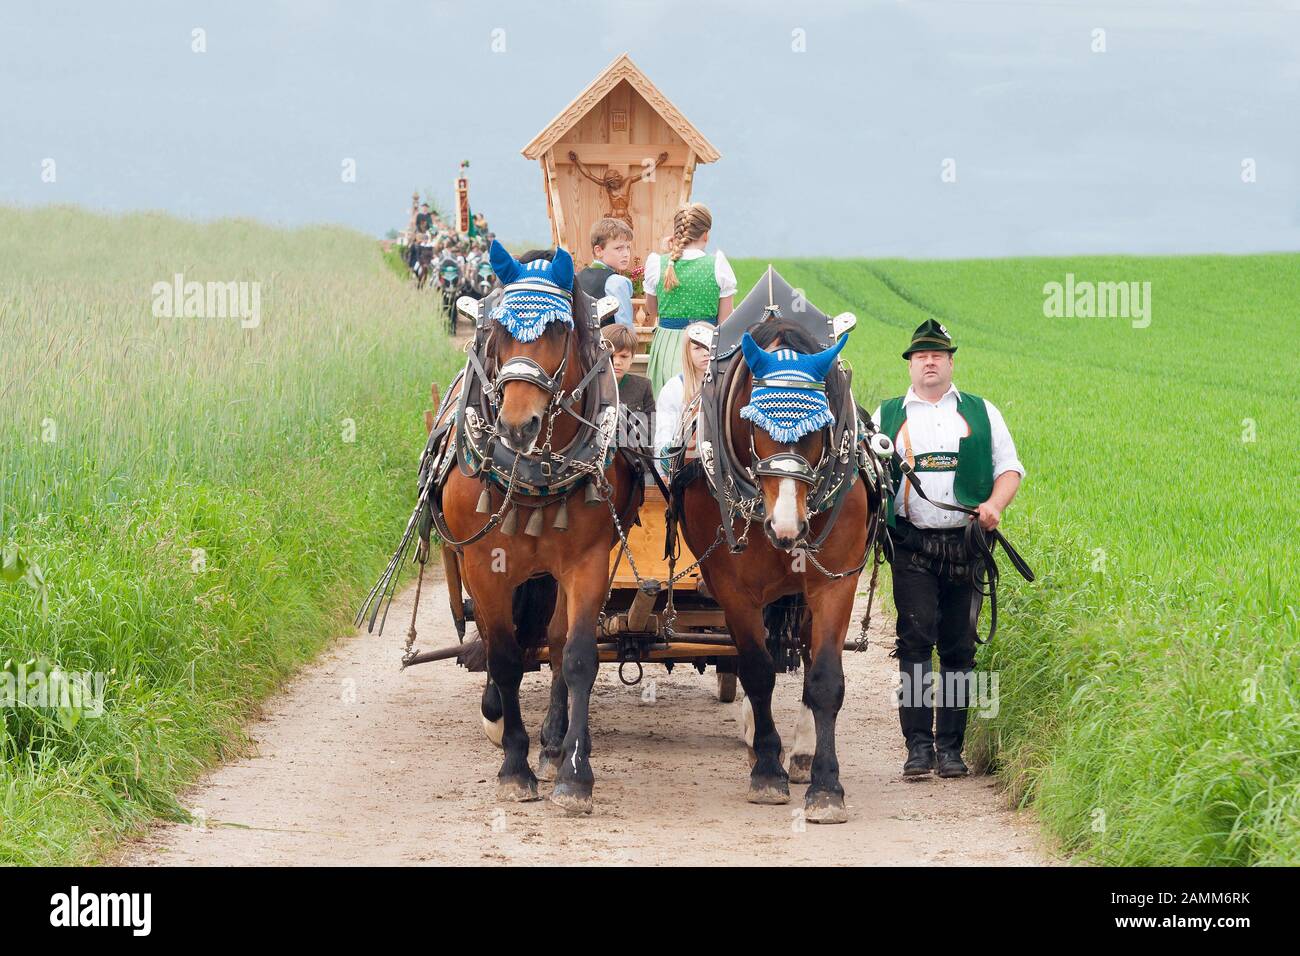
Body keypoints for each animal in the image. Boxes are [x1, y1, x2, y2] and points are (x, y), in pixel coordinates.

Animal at [436, 247, 639, 816]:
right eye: (498, 333)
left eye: (558, 330)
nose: (517, 424)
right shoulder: (485, 567)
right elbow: (505, 656)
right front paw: (513, 766)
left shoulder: (587, 563)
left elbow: (576, 656)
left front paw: (574, 772)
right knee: (500, 640)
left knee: (552, 641)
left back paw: (553, 743)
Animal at [676, 319, 868, 822]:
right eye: (753, 424)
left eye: (819, 429)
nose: (786, 527)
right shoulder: (734, 589)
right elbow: (758, 671)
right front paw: (765, 770)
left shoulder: (835, 583)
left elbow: (825, 678)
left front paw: (826, 785)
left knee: (804, 651)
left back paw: (800, 753)